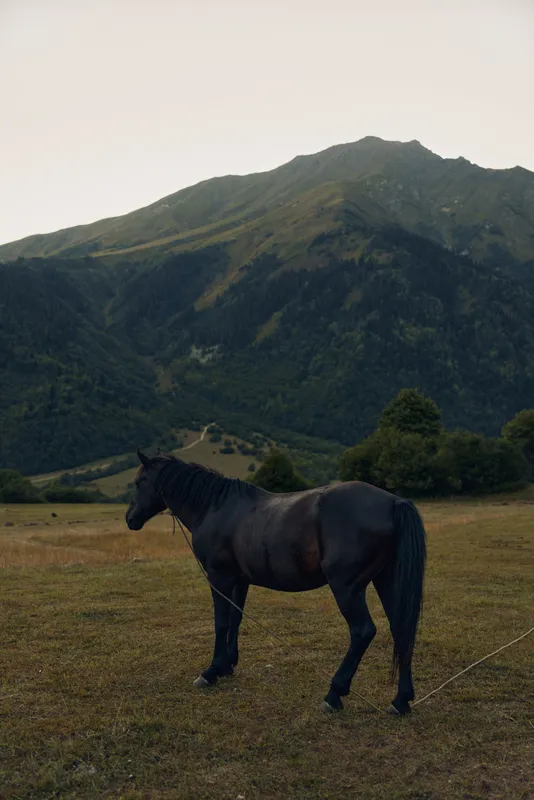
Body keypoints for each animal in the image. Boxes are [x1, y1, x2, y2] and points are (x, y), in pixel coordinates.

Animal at [125, 450, 427, 715]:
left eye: (140, 482)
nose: (130, 518)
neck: (215, 508)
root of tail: (394, 502)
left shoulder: (219, 576)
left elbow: (221, 622)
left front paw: (211, 671)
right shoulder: (239, 580)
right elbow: (235, 619)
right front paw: (228, 665)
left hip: (347, 588)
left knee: (363, 632)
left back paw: (334, 694)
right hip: (386, 581)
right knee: (401, 629)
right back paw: (400, 701)